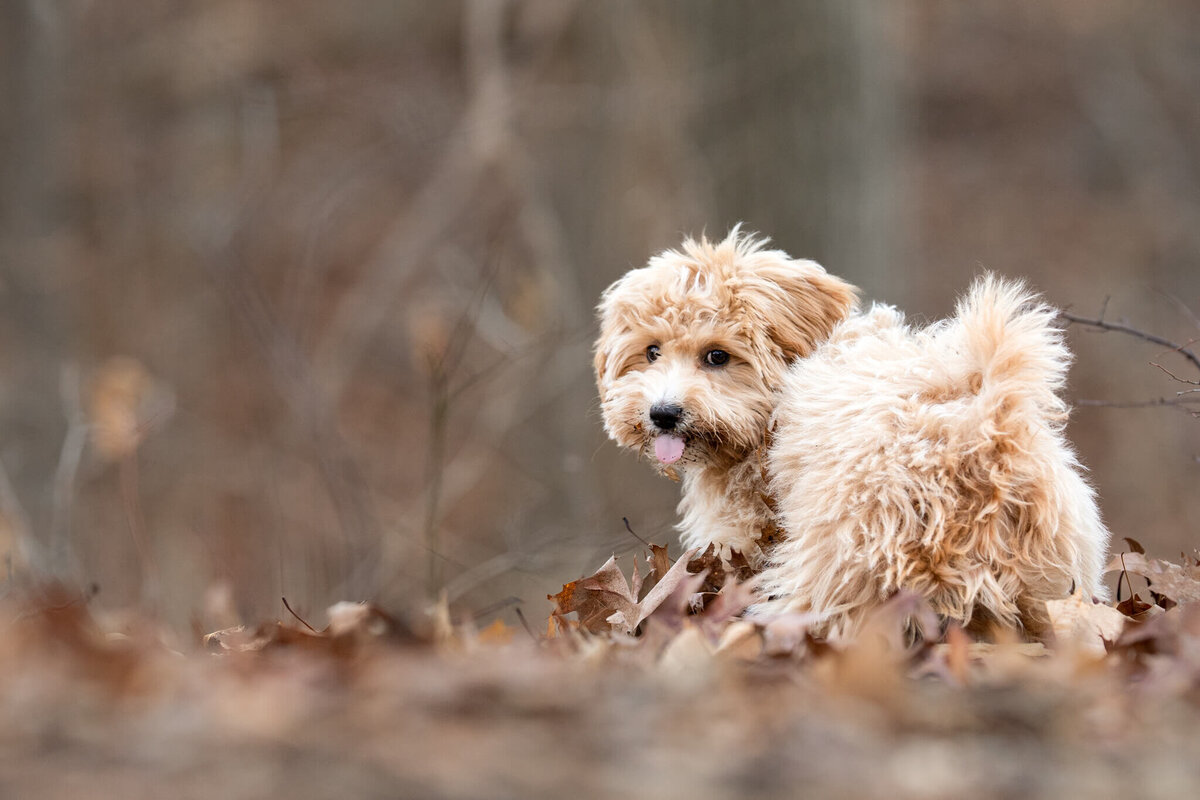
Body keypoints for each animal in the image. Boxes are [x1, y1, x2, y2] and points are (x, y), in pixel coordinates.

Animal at [595, 227, 1108, 642]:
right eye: (651, 352)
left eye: (717, 356)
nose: (663, 413)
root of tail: (982, 435)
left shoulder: (739, 532)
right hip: (1047, 581)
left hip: (842, 560)